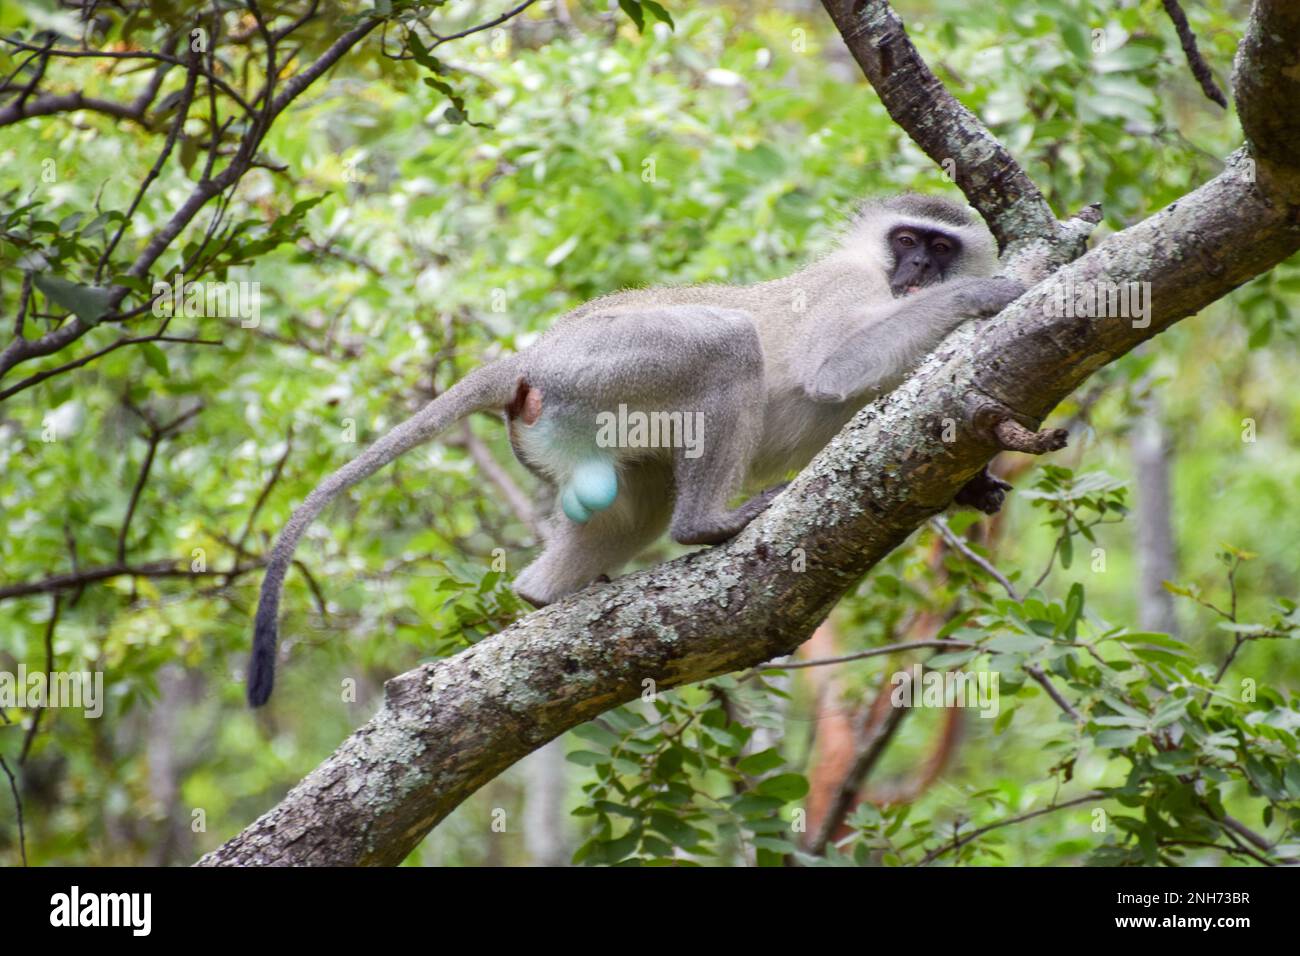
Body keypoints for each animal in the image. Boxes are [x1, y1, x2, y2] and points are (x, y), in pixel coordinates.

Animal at [246, 193, 1024, 706]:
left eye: (941, 247)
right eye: (907, 241)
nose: (918, 271)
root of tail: (530, 356)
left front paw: (976, 485)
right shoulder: (847, 286)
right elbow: (832, 372)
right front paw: (986, 295)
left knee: (634, 508)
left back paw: (544, 597)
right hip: (608, 364)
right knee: (725, 345)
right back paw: (708, 524)